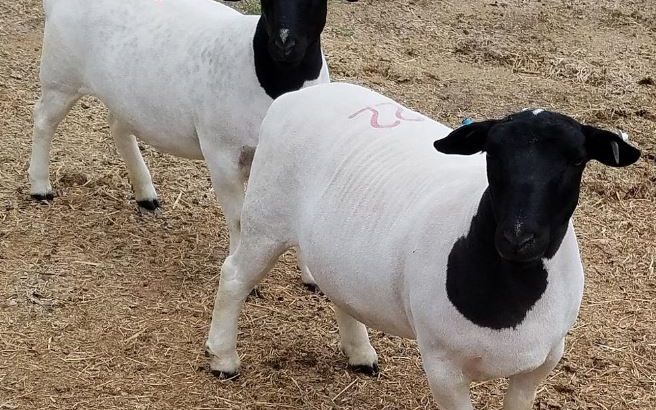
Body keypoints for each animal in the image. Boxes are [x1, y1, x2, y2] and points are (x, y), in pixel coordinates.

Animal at [28, 0, 353, 272]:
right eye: (266, 0)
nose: (284, 43)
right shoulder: (221, 153)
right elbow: (238, 220)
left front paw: (311, 278)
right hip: (61, 77)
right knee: (43, 121)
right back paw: (40, 187)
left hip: (127, 97)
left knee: (118, 127)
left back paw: (145, 194)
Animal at [204, 82, 641, 409]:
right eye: (492, 153)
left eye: (576, 160)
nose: (518, 237)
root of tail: (298, 96)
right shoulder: (442, 366)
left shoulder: (542, 362)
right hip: (266, 218)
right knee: (234, 276)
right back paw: (223, 358)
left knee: (338, 287)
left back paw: (360, 354)